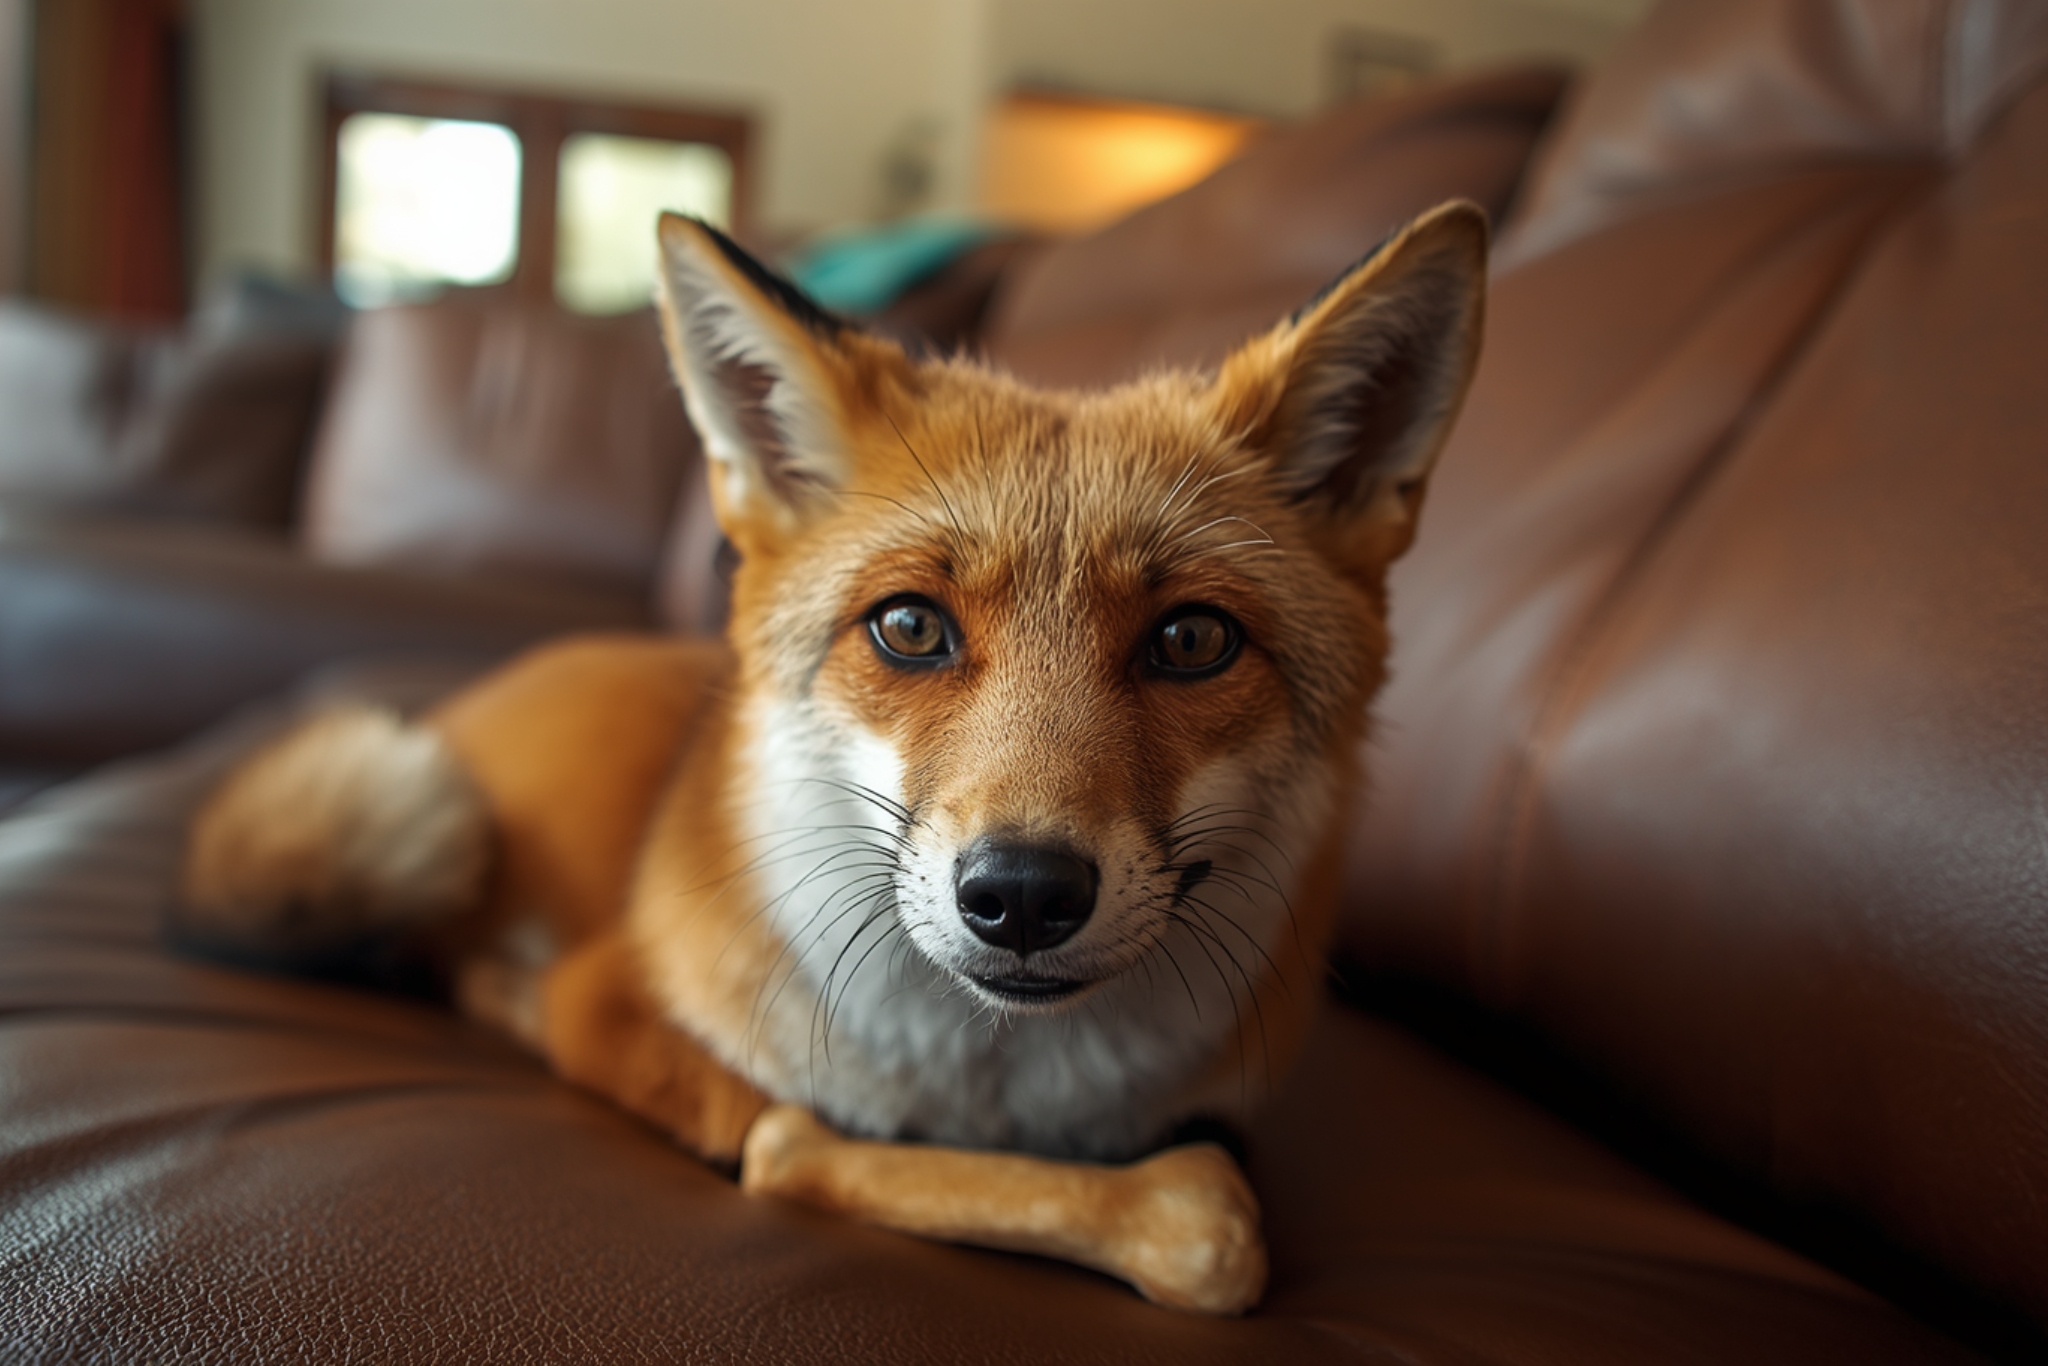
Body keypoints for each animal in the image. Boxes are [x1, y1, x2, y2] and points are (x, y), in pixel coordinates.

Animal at [178, 201, 1486, 1315]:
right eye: (909, 627)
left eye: (1191, 640)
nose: (1021, 894)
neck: (990, 1087)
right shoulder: (619, 1004)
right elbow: (806, 1144)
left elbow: (1206, 1232)